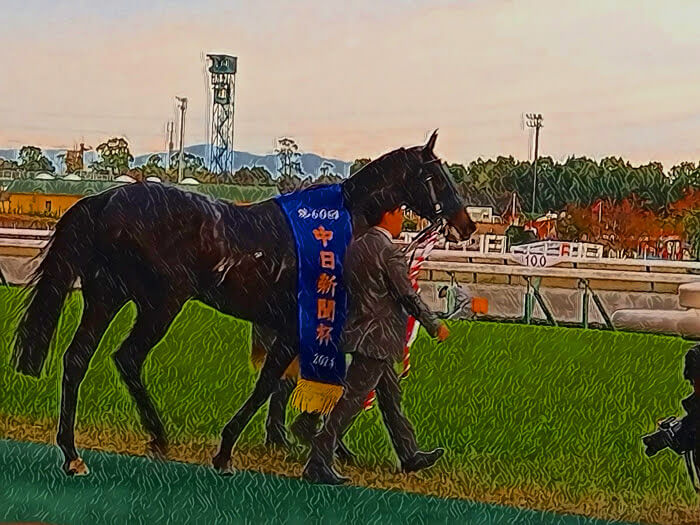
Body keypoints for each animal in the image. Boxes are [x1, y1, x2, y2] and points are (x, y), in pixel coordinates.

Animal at [12, 131, 476, 476]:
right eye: (437, 175)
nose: (467, 224)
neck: (329, 230)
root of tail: (103, 200)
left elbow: (323, 383)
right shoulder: (296, 325)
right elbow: (273, 383)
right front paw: (229, 450)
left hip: (106, 296)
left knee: (77, 358)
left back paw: (73, 453)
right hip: (160, 302)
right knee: (126, 358)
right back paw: (154, 436)